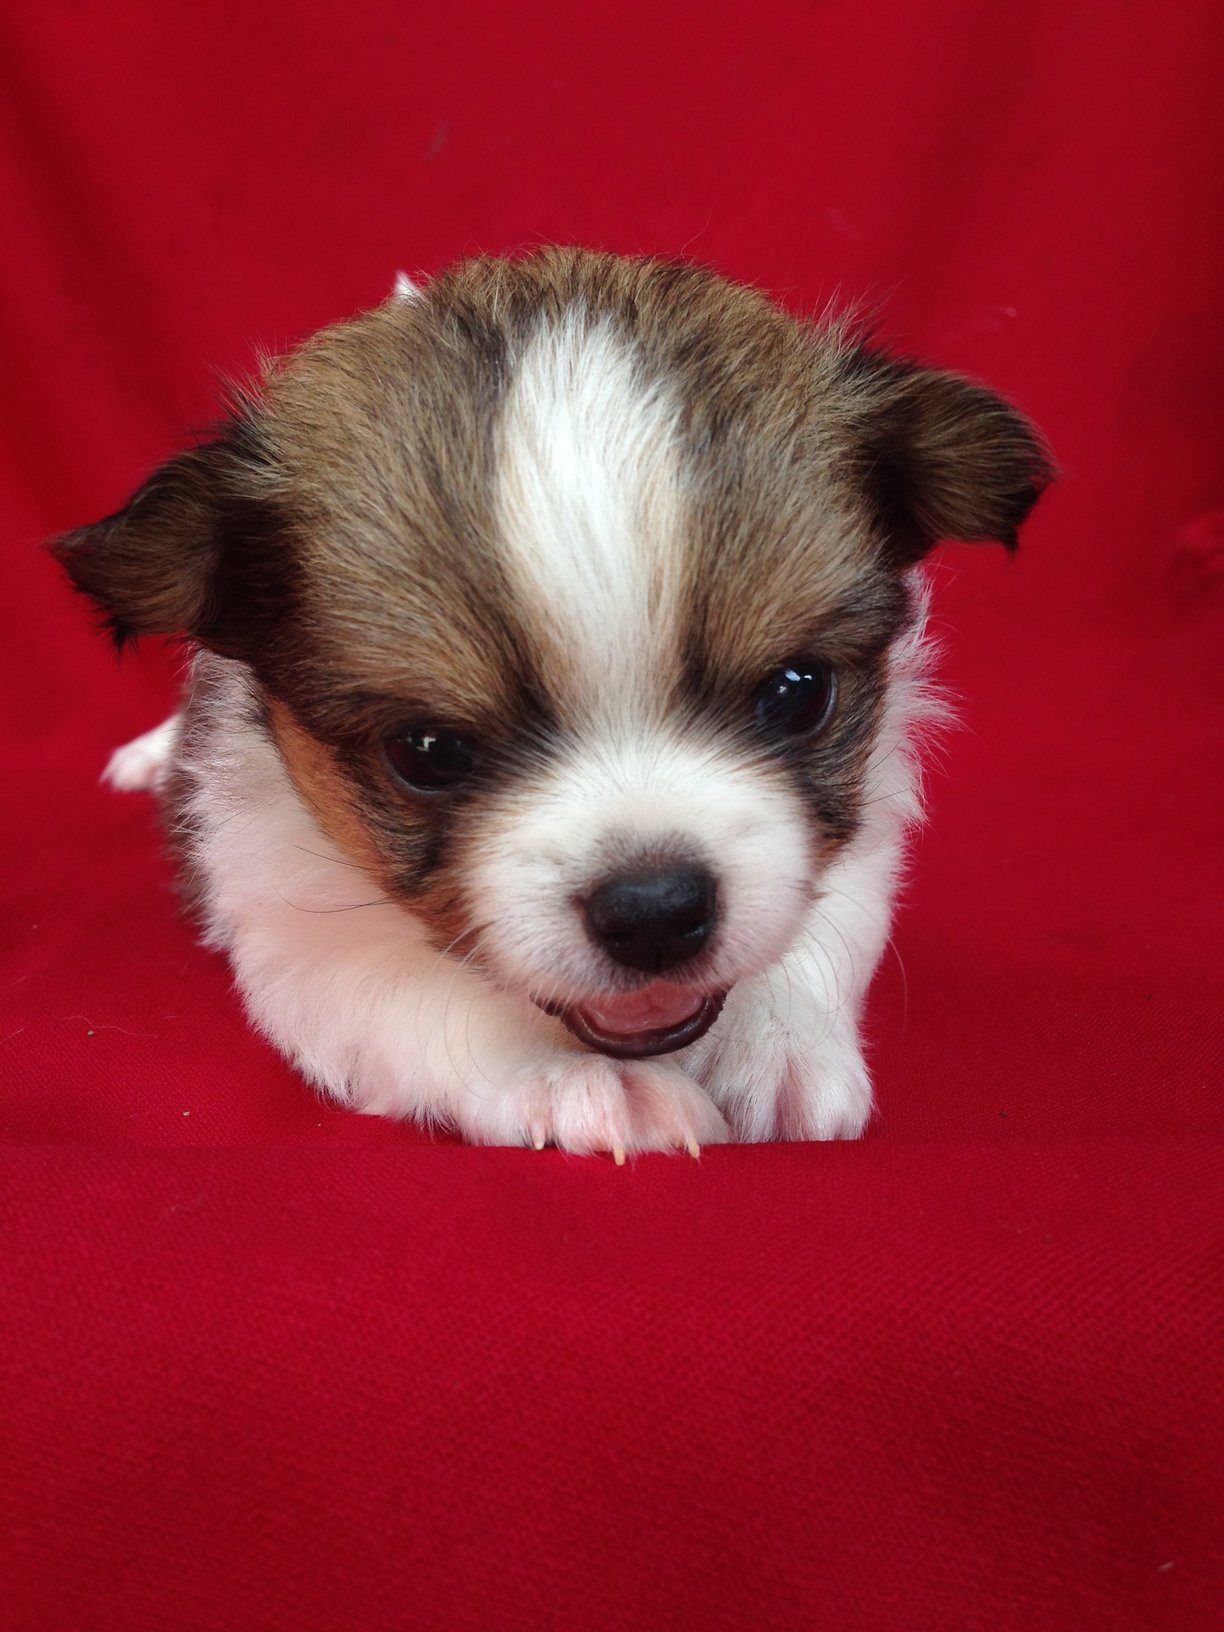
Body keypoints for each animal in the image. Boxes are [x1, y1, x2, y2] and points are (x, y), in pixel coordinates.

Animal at [53, 249, 1051, 1157]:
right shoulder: (293, 926)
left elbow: (820, 925)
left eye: (797, 695)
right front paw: (581, 1080)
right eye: (427, 752)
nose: (654, 908)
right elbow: (431, 1005)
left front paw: (778, 1043)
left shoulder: (866, 821)